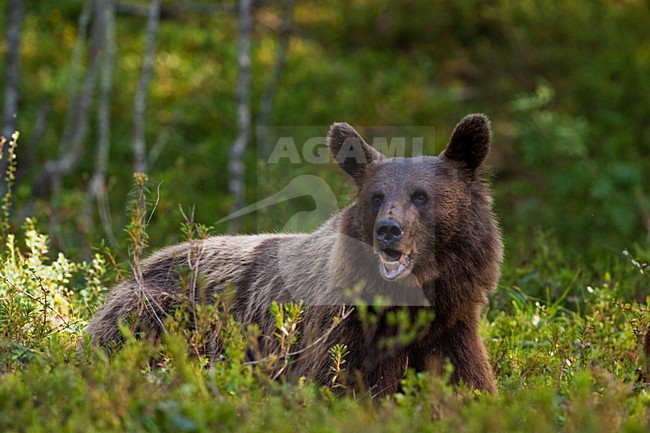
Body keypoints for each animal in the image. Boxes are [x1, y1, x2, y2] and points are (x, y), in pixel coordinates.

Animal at [86, 113, 503, 396]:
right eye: (376, 196)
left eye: (420, 196)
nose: (388, 230)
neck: (407, 304)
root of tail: (137, 267)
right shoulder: (340, 331)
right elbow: (339, 384)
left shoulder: (451, 327)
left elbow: (469, 383)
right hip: (165, 308)